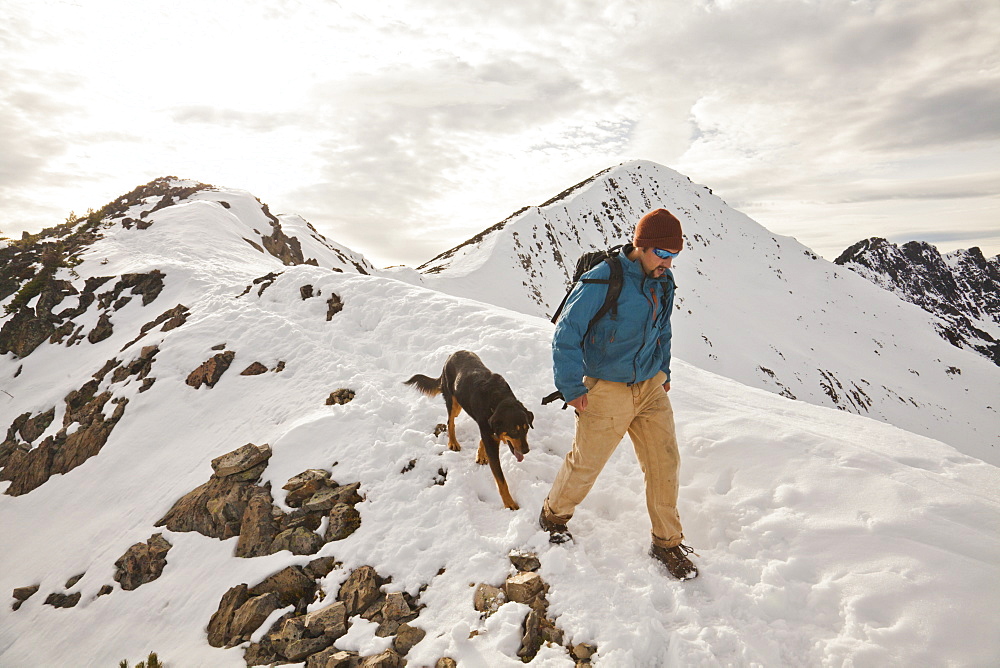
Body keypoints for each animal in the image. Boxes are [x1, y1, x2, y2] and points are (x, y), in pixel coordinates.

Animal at [404, 350, 536, 512]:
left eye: (526, 428)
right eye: (513, 430)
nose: (526, 450)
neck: (498, 400)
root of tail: (452, 354)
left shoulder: (487, 427)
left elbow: (483, 440)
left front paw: (481, 455)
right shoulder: (489, 433)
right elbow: (501, 480)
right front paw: (509, 504)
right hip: (453, 402)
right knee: (450, 422)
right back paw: (453, 442)